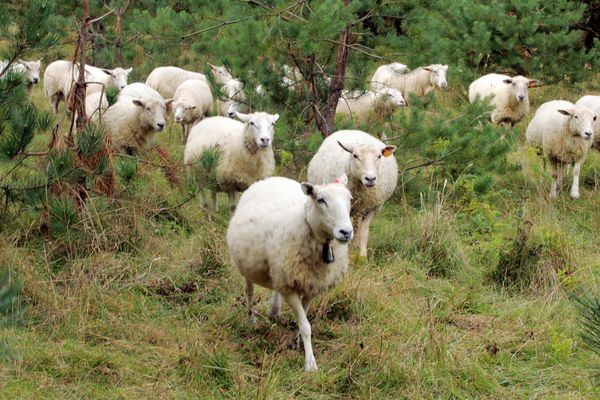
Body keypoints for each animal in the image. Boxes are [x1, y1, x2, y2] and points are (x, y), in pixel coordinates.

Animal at [227, 175, 354, 372]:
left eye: (350, 199)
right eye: (321, 200)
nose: (346, 232)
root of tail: (270, 178)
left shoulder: (310, 287)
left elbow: (304, 319)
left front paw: (297, 342)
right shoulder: (290, 288)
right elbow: (305, 325)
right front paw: (310, 363)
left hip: (279, 268)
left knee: (275, 286)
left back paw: (273, 311)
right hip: (251, 269)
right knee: (249, 293)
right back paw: (252, 321)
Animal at [310, 130, 398, 258]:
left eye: (379, 156)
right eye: (355, 155)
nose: (370, 179)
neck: (361, 189)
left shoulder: (373, 208)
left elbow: (364, 232)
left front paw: (362, 255)